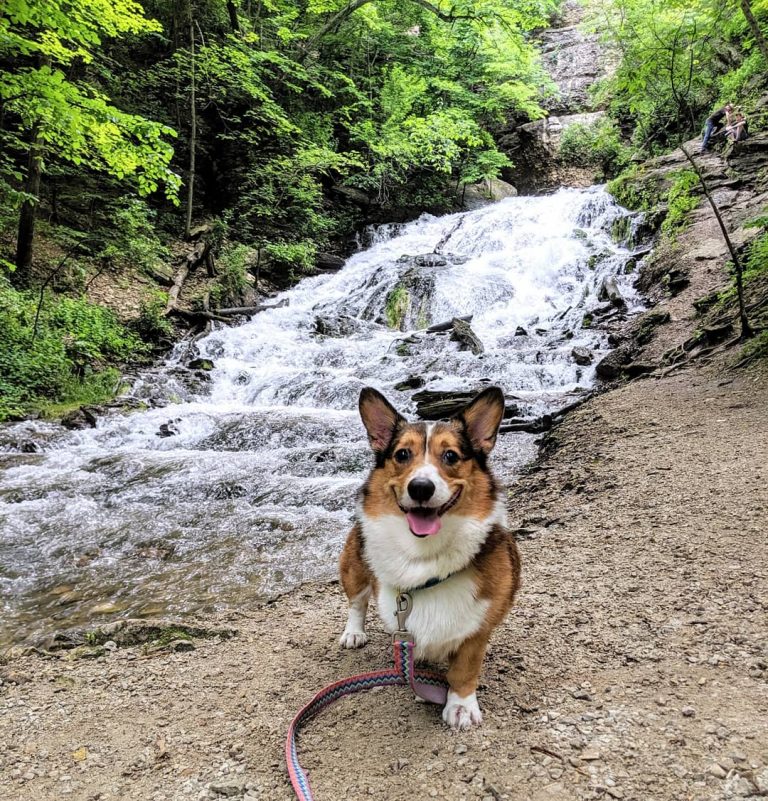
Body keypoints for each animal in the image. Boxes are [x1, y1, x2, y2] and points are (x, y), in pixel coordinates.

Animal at [340, 384, 520, 728]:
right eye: (402, 455)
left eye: (451, 456)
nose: (421, 488)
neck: (425, 558)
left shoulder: (478, 629)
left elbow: (464, 669)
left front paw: (460, 705)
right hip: (354, 565)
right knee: (357, 601)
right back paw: (353, 633)